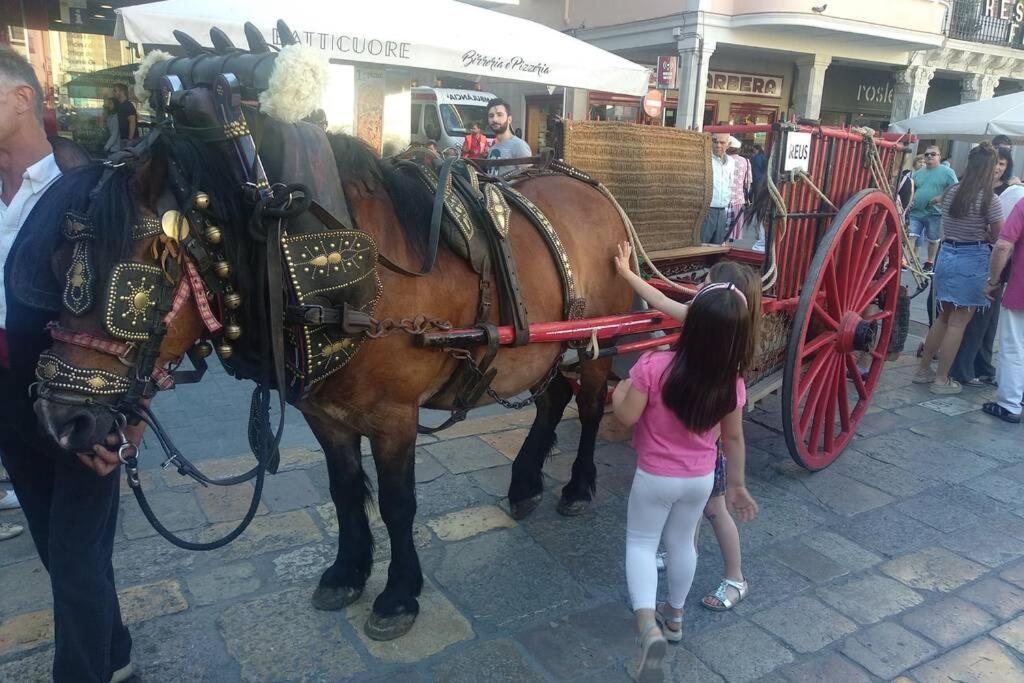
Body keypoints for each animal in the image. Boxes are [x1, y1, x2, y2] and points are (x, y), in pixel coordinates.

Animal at [32, 85, 634, 643]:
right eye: (58, 264)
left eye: (141, 282)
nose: (63, 421)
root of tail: (592, 188)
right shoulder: (324, 414)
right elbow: (345, 490)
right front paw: (348, 572)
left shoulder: (394, 417)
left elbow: (397, 503)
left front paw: (399, 595)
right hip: (552, 346)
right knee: (553, 399)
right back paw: (527, 481)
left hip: (600, 338)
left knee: (590, 405)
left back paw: (578, 487)